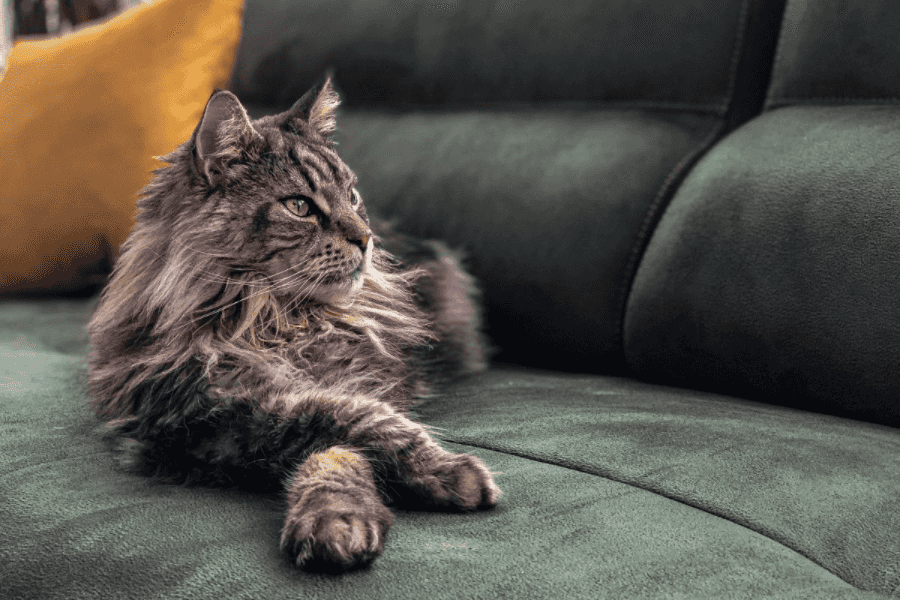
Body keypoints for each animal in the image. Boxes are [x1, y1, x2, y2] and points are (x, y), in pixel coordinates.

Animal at [86, 76, 500, 572]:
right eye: (300, 206)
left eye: (352, 197)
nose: (366, 238)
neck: (273, 321)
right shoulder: (197, 415)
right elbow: (342, 423)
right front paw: (348, 519)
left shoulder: (355, 380)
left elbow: (345, 442)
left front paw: (342, 517)